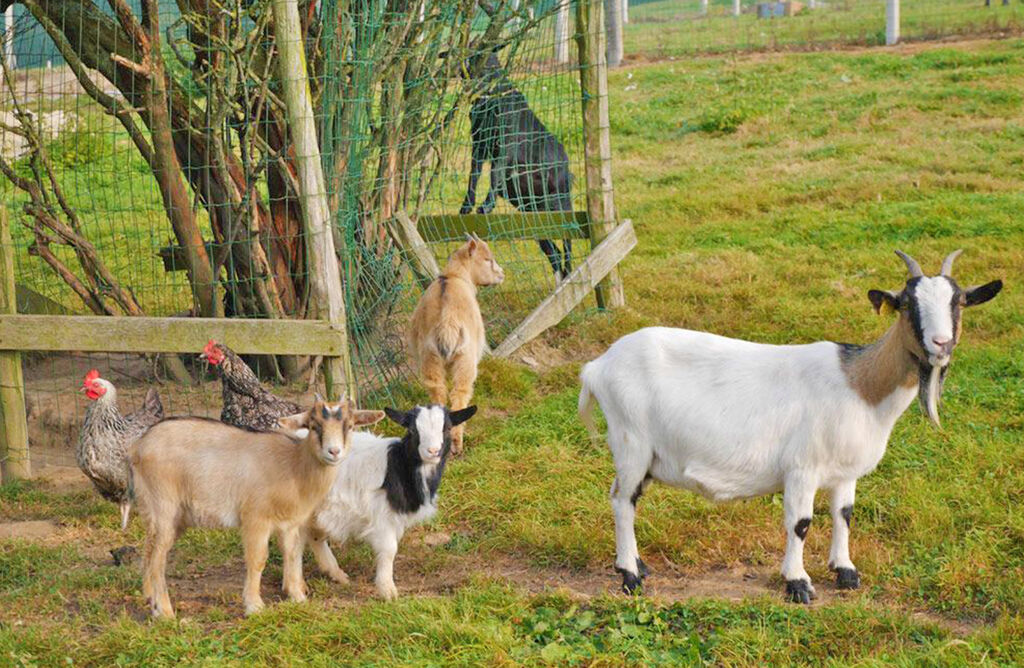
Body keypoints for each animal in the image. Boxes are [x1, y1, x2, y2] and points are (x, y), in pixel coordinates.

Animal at [581, 252, 1003, 606]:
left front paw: (845, 571)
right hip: (631, 442)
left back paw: (638, 564)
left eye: (959, 302)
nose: (940, 343)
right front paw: (798, 583)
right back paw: (630, 576)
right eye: (905, 304)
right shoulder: (802, 468)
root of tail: (597, 366)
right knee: (621, 500)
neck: (861, 387)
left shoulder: (844, 472)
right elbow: (800, 524)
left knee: (631, 498)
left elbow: (844, 514)